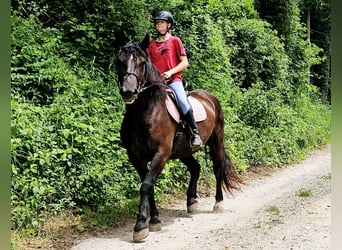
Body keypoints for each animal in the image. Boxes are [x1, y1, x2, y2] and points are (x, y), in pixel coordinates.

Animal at [116, 34, 242, 242]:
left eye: (142, 62)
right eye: (120, 60)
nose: (129, 92)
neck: (144, 112)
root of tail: (210, 98)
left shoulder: (161, 154)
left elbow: (146, 185)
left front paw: (140, 226)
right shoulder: (136, 157)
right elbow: (149, 186)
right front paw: (154, 220)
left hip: (215, 142)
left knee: (217, 169)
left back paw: (218, 203)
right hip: (184, 150)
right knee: (195, 168)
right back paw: (191, 201)